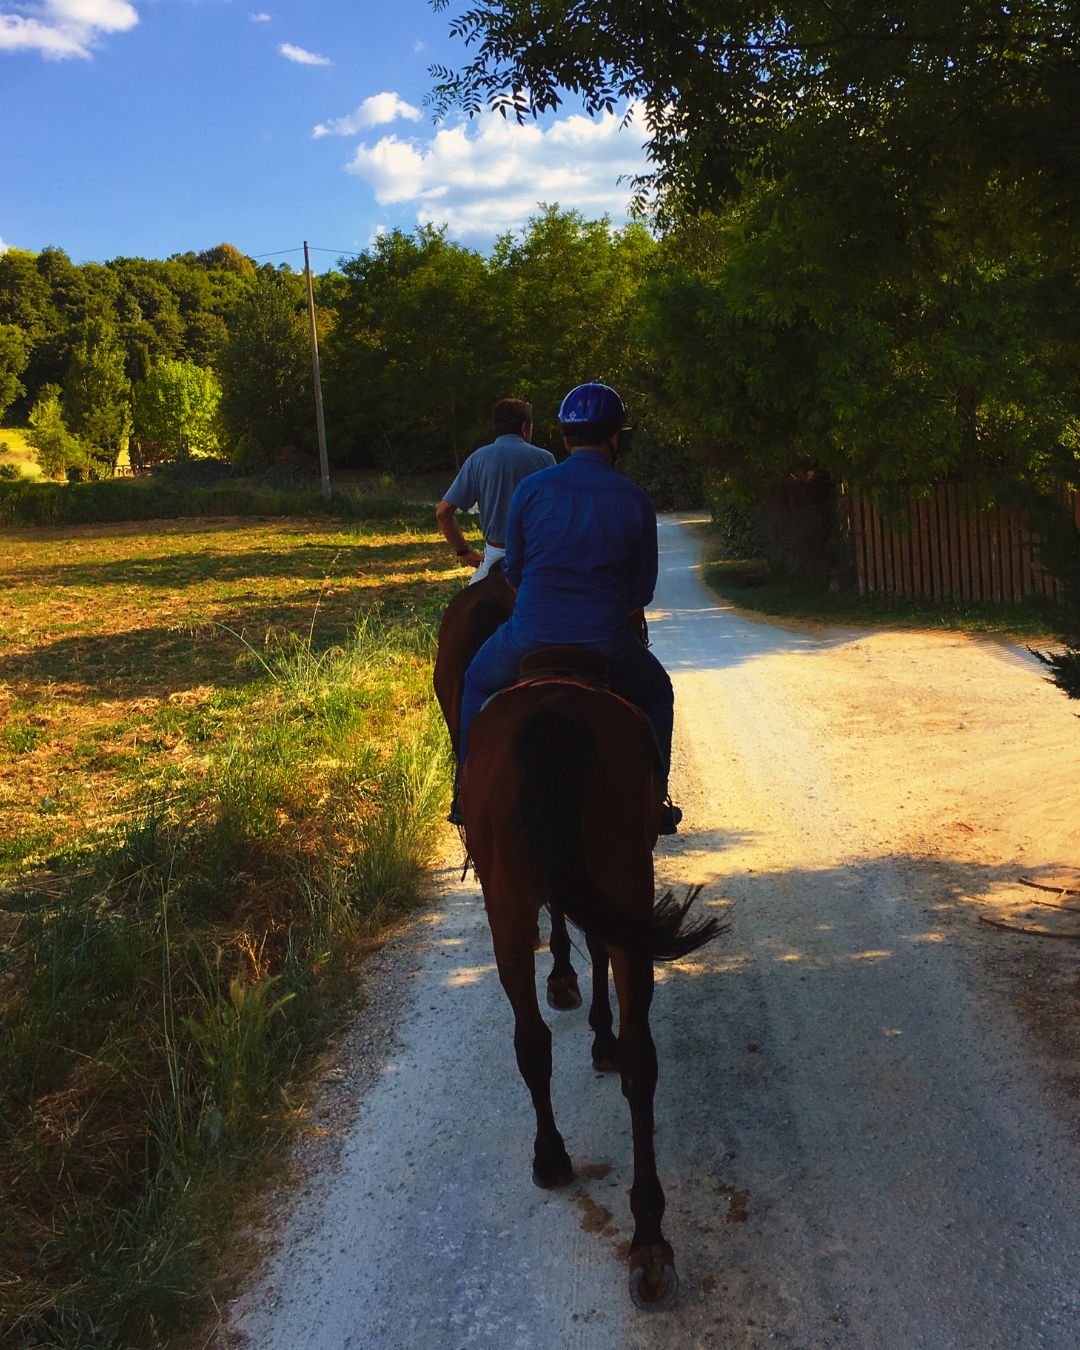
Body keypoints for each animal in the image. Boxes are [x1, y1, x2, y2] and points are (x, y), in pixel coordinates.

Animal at [460, 652, 720, 1309]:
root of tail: (553, 718)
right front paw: (597, 1029)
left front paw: (579, 1005)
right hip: (611, 883)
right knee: (630, 1056)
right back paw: (646, 1234)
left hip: (514, 903)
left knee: (536, 1041)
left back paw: (557, 1161)